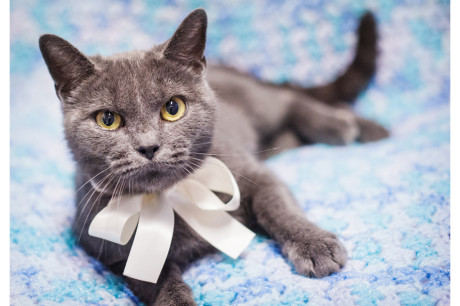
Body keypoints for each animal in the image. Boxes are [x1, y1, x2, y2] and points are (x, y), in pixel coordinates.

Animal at [38, 8, 388, 304]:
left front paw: (314, 245)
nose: (149, 146)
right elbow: (153, 281)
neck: (169, 198)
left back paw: (351, 127)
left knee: (289, 98)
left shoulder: (250, 172)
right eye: (107, 119)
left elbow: (277, 205)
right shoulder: (108, 248)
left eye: (173, 107)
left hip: (259, 103)